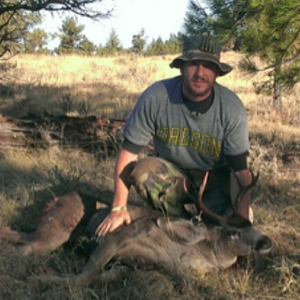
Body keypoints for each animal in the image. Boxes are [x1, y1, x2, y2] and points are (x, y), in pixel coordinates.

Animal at [28, 170, 272, 288]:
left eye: (252, 225)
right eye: (233, 232)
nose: (266, 241)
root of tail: (52, 201)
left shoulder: (134, 264)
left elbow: (107, 274)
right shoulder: (117, 236)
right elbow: (82, 279)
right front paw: (39, 278)